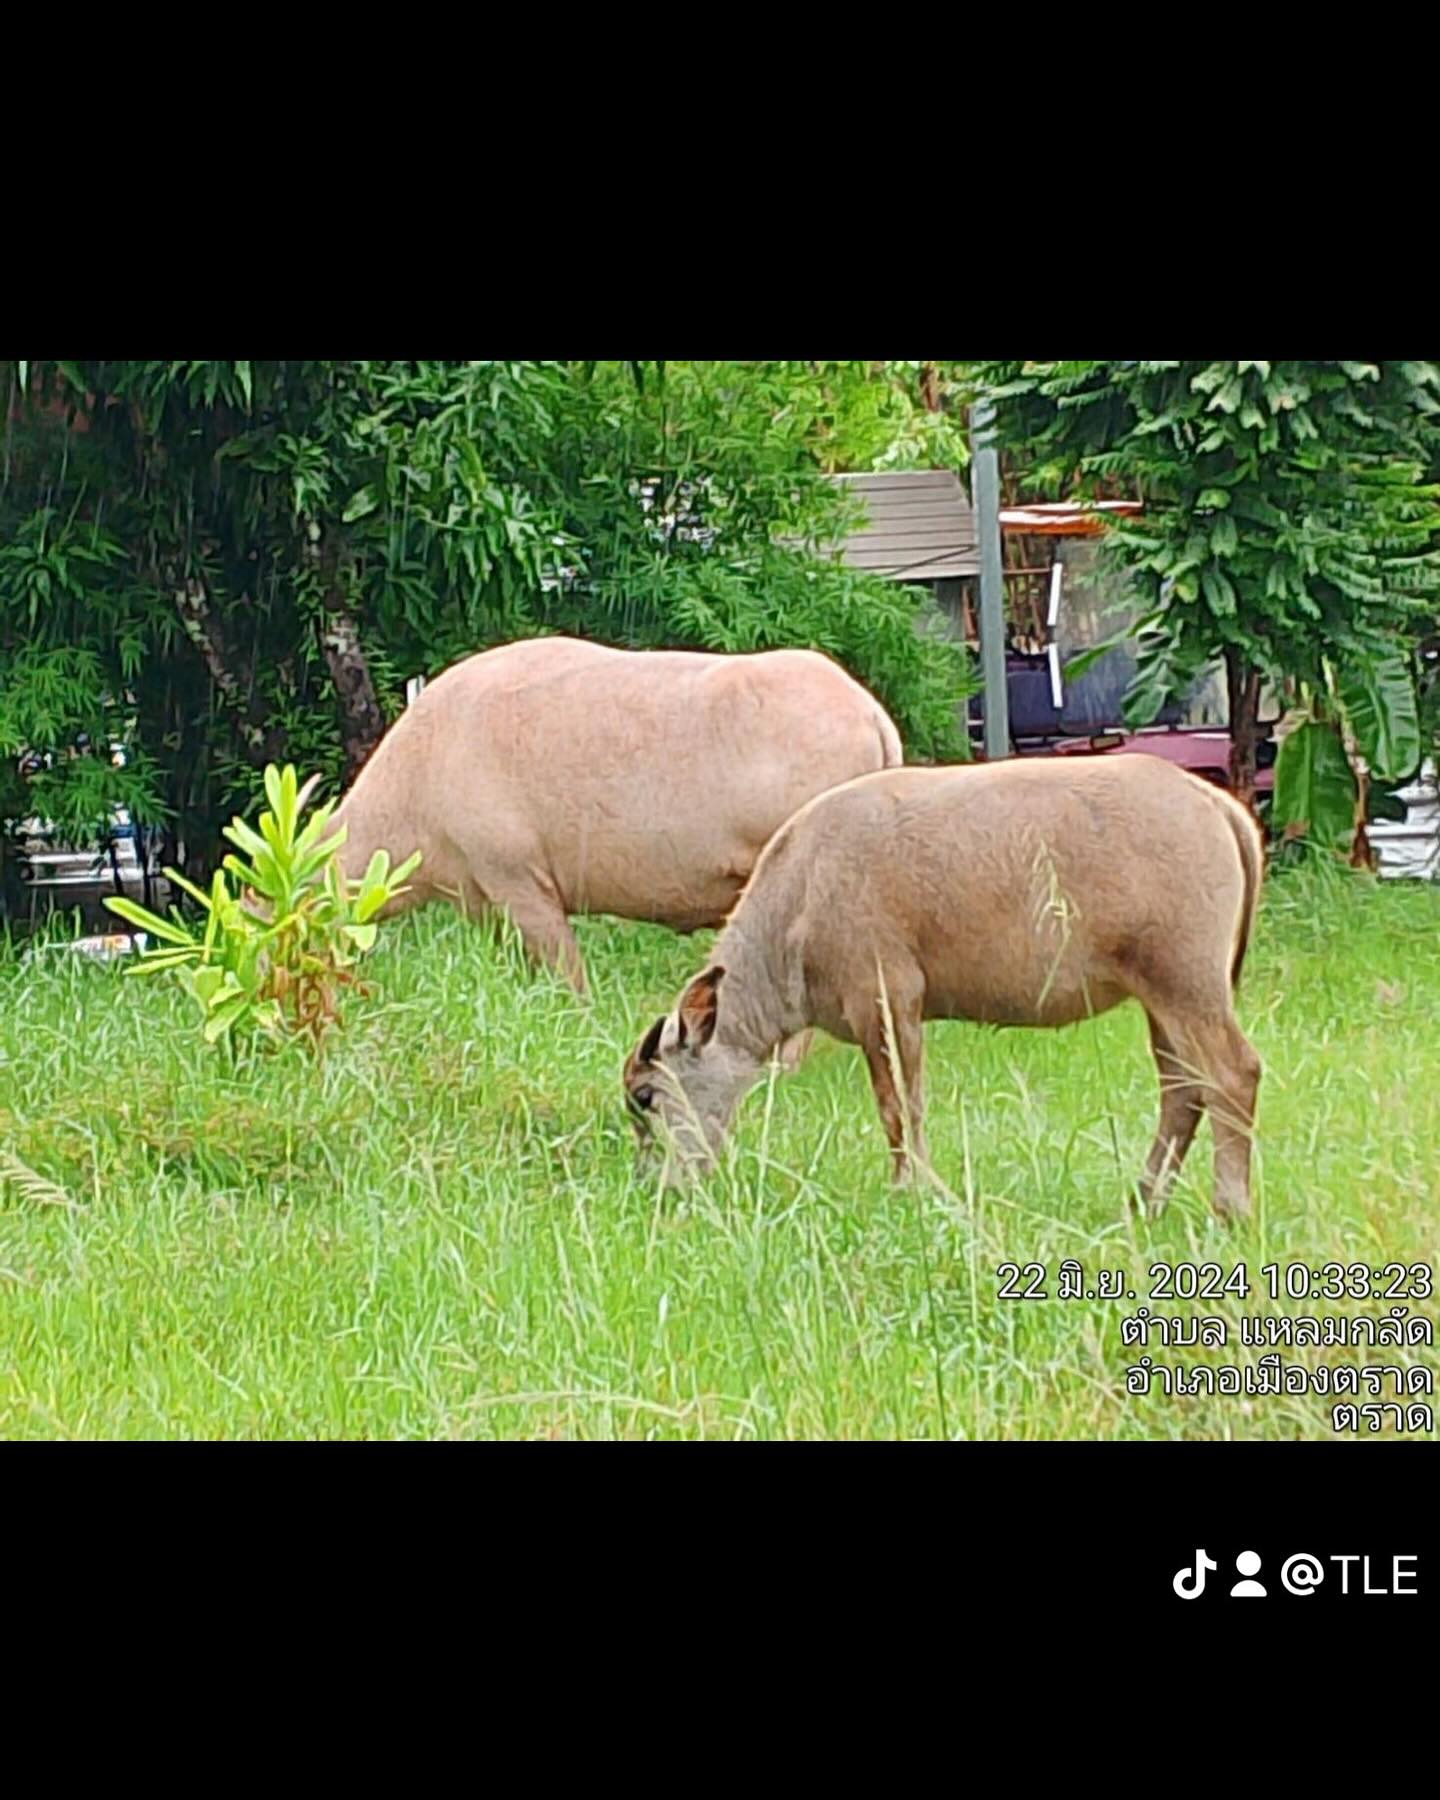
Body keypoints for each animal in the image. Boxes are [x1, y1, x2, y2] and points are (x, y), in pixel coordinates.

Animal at [622, 752, 1267, 1216]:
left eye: (646, 1096)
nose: (658, 1185)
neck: (801, 895)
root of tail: (1214, 803)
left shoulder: (886, 1000)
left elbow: (899, 1106)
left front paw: (911, 1186)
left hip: (1185, 981)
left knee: (1233, 1074)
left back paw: (1228, 1207)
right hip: (1163, 995)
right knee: (1183, 1091)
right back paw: (1144, 1199)